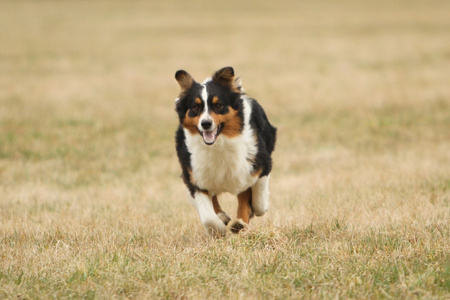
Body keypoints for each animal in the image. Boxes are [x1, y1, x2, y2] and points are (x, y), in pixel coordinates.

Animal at [174, 67, 276, 236]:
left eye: (218, 105)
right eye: (195, 107)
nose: (206, 124)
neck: (218, 145)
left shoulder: (260, 164)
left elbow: (258, 199)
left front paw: (253, 210)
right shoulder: (193, 174)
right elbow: (207, 214)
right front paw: (218, 228)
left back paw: (240, 222)